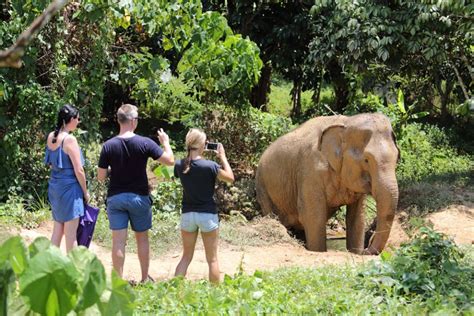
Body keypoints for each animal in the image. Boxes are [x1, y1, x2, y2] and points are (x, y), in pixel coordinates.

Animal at [256, 113, 400, 254]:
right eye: (366, 160)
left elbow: (356, 219)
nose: (366, 249)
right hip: (262, 187)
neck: (347, 122)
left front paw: (356, 252)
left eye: (397, 157)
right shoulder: (310, 172)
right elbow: (313, 217)